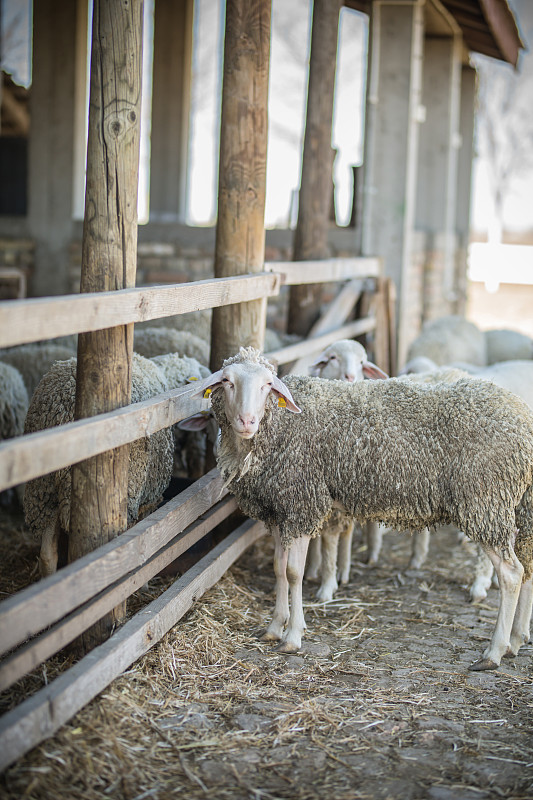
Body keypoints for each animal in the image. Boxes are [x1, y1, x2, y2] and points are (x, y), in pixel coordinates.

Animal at [304, 338, 386, 600]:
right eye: (332, 358)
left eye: (362, 362)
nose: (350, 376)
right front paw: (315, 569)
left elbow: (330, 541)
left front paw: (327, 586)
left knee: (346, 533)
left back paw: (343, 571)